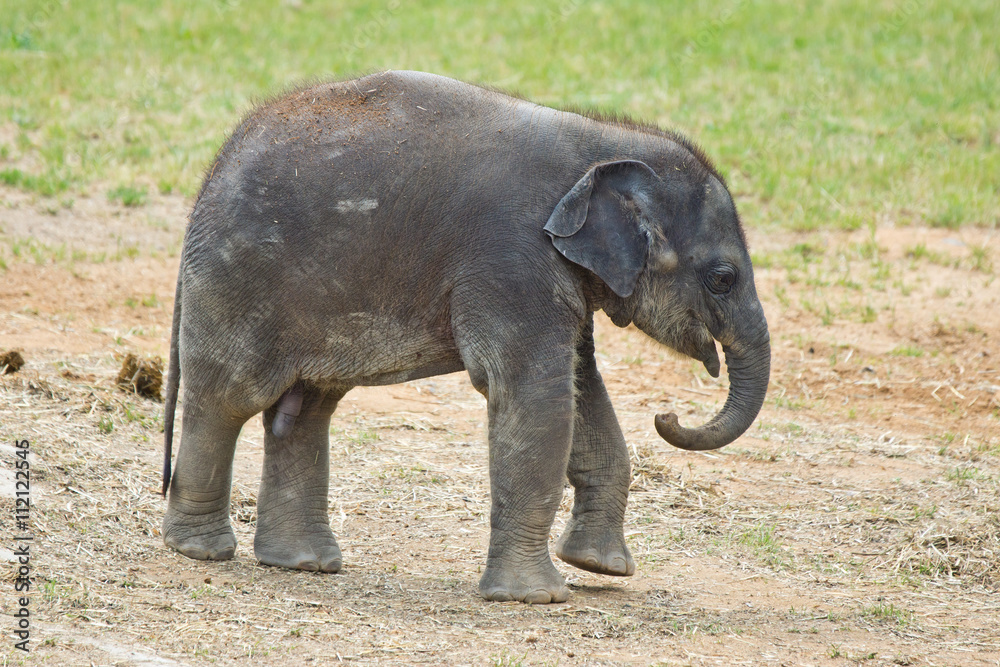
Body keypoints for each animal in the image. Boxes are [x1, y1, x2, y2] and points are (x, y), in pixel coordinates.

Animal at [161, 70, 770, 604]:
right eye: (722, 278)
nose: (668, 415)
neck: (604, 142)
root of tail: (210, 175)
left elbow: (580, 392)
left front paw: (601, 568)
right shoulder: (512, 259)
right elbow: (536, 399)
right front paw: (536, 599)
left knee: (305, 408)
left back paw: (304, 564)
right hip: (238, 281)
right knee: (228, 398)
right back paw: (200, 552)